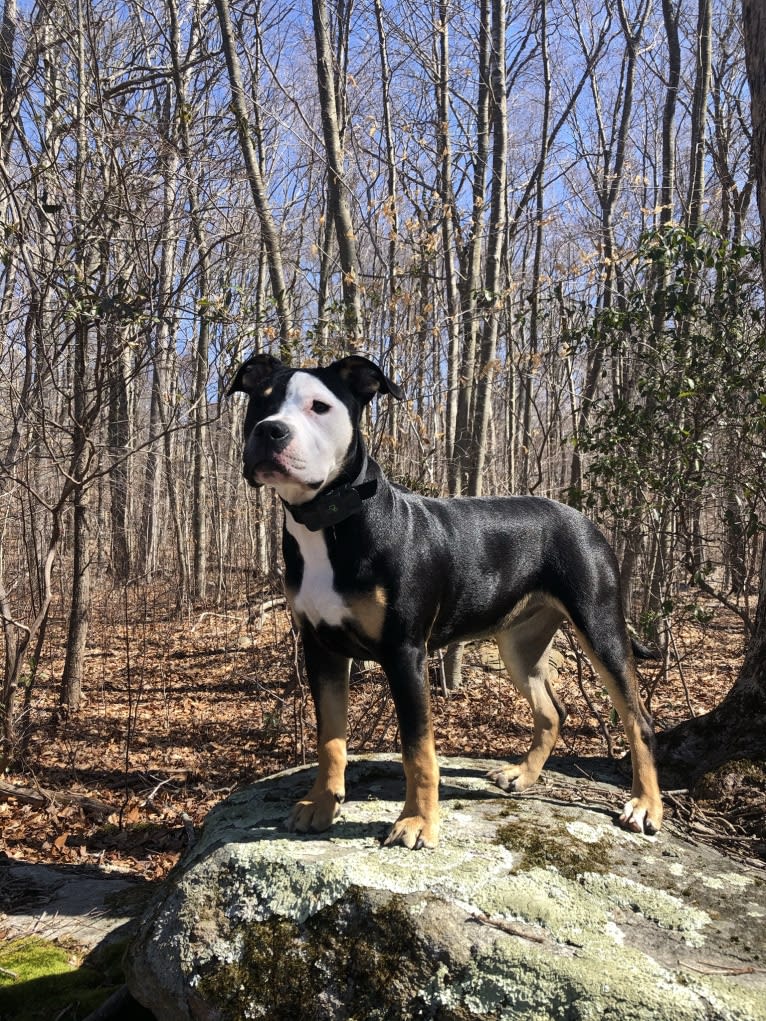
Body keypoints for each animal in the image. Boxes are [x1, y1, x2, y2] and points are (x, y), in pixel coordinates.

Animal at [229, 355, 665, 849]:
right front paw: (321, 804)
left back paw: (646, 806)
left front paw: (418, 822)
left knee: (638, 719)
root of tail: (585, 520)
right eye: (260, 402)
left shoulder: (405, 652)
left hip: (599, 624)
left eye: (318, 406)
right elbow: (330, 738)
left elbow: (418, 749)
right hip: (520, 643)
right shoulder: (321, 649)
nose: (269, 431)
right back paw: (523, 776)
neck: (332, 522)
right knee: (552, 711)